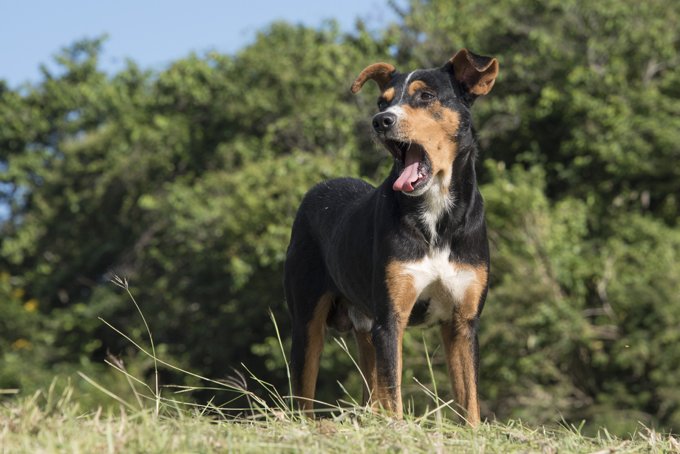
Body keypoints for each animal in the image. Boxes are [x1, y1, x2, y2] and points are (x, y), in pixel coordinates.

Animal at [282, 49, 500, 426]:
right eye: (382, 101)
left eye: (425, 96)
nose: (380, 121)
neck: (436, 217)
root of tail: (318, 190)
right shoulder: (390, 319)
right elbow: (393, 394)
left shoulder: (463, 323)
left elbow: (469, 399)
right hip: (307, 323)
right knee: (304, 396)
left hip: (365, 328)